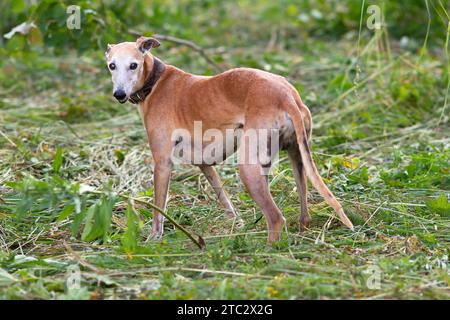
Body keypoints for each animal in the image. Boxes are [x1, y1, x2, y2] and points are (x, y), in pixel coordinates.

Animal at [105, 37, 356, 242]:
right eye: (112, 65)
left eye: (133, 65)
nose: (119, 95)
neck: (156, 82)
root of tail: (287, 95)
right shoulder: (204, 163)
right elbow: (224, 198)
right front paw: (237, 223)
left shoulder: (162, 163)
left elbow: (159, 208)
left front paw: (153, 239)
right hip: (295, 159)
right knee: (302, 209)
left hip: (248, 169)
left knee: (276, 218)